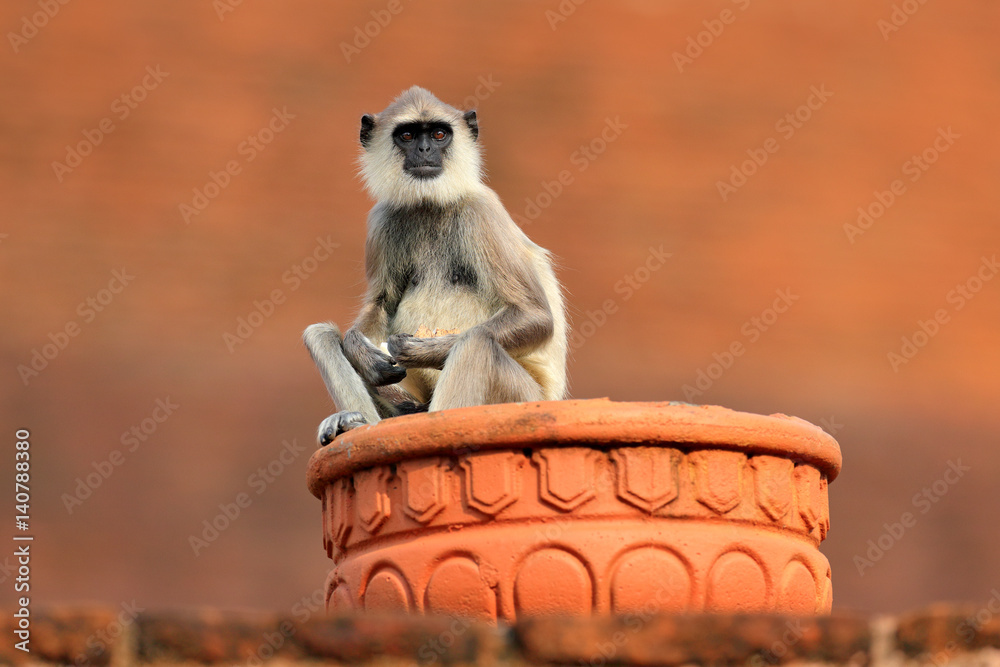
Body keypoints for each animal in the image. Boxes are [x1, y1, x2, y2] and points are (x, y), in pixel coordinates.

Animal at [303, 86, 567, 446]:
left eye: (439, 134)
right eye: (408, 135)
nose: (425, 149)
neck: (430, 204)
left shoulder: (482, 212)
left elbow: (535, 315)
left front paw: (422, 350)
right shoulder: (382, 219)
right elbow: (380, 305)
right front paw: (360, 351)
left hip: (524, 400)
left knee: (475, 343)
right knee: (320, 334)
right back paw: (357, 424)